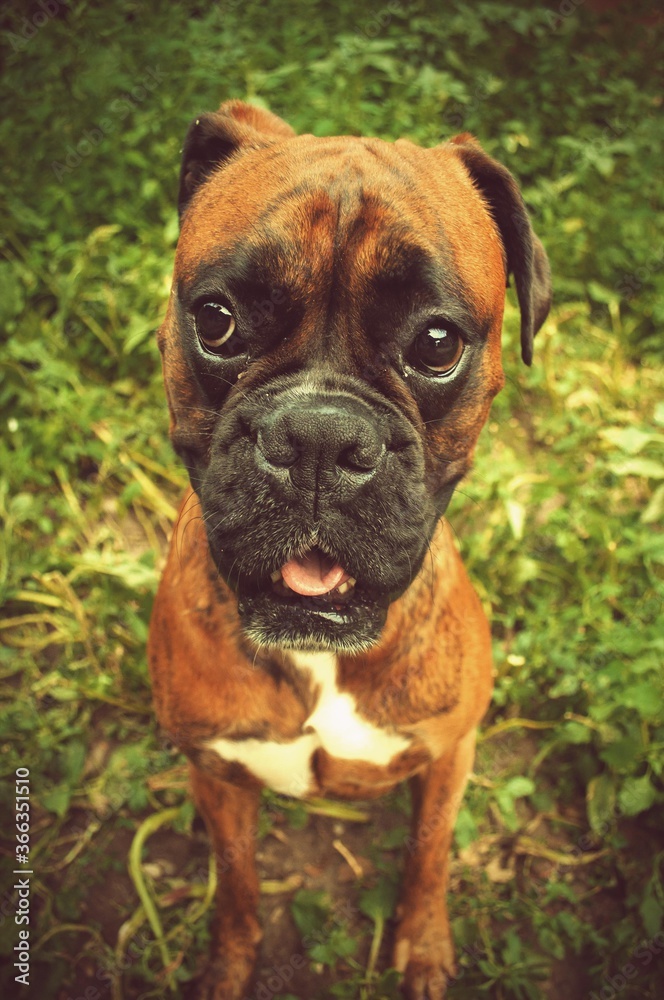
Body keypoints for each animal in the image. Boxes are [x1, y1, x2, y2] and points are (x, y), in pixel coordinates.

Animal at [149, 101, 548, 1000]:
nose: (318, 437)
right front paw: (227, 964)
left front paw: (424, 947)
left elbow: (430, 852)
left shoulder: (451, 751)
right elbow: (237, 880)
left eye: (437, 342)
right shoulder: (216, 774)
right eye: (217, 321)